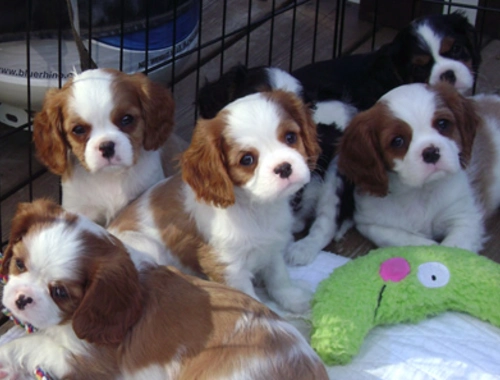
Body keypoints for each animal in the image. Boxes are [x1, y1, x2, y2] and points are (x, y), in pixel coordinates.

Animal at [109, 90, 320, 312]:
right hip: (149, 248)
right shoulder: (228, 267)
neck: (257, 208)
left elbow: (278, 277)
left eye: (290, 137)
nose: (284, 168)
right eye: (247, 160)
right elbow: (251, 299)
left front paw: (294, 299)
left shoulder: (273, 246)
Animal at [336, 82, 500, 252]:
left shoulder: (465, 217)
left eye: (442, 124)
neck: (421, 191)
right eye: (398, 141)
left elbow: (454, 247)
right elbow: (404, 240)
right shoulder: (371, 224)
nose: (431, 152)